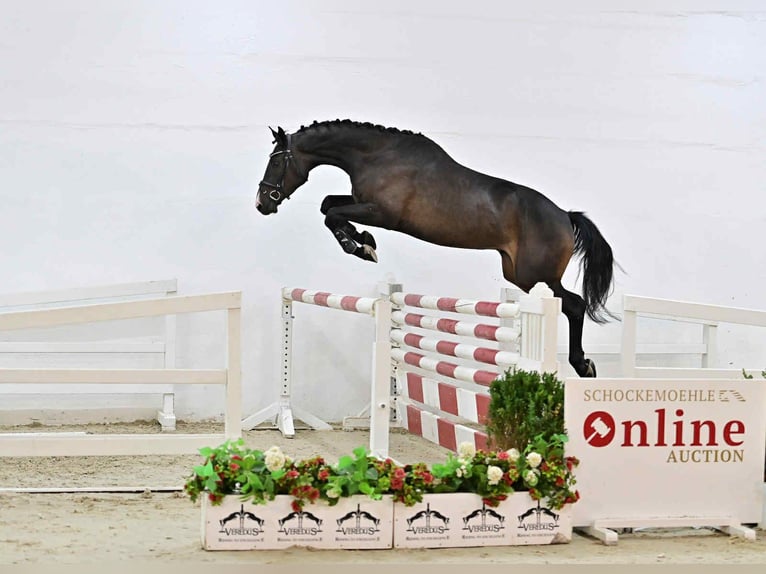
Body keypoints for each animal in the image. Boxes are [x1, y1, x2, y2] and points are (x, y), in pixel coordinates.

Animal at [255, 119, 618, 377]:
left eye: (275, 163)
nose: (262, 203)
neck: (376, 155)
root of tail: (564, 216)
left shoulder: (382, 213)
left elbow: (331, 213)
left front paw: (359, 246)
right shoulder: (363, 205)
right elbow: (328, 205)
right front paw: (365, 241)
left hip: (537, 278)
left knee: (574, 305)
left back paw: (583, 366)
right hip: (517, 274)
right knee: (572, 304)